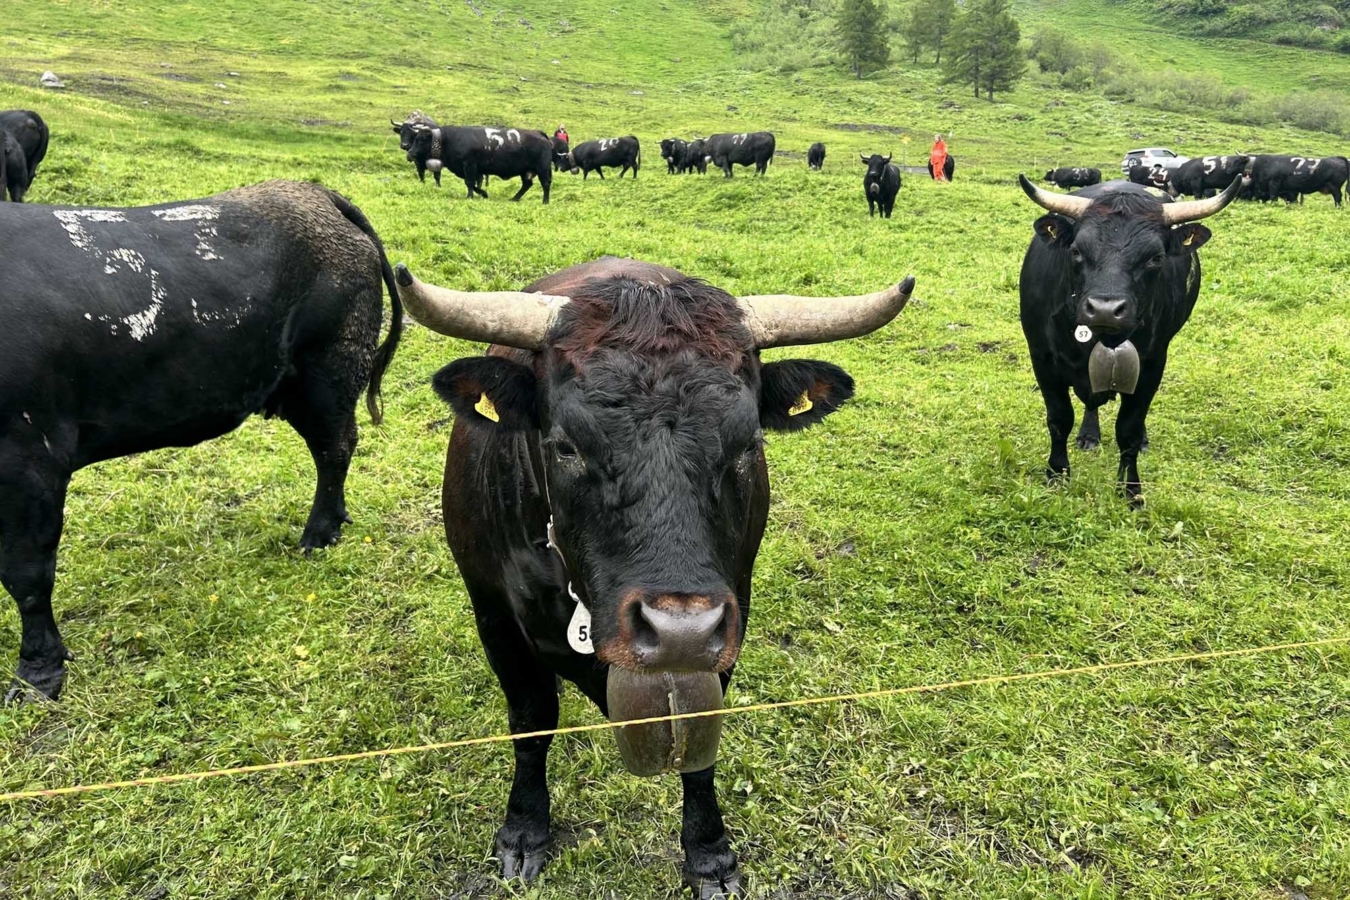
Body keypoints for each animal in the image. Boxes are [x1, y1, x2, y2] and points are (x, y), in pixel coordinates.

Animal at [0, 181, 403, 703]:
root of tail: (313, 193)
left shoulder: (29, 455)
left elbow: (27, 572)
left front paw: (38, 672)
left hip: (328, 372)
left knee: (335, 449)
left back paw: (319, 533)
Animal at [391, 256, 914, 899]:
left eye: (748, 443)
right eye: (565, 445)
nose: (678, 634)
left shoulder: (731, 615)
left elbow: (699, 733)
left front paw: (709, 853)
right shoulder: (493, 614)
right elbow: (532, 723)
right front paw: (525, 830)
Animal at [406, 124, 553, 203]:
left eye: (420, 140)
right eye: (415, 138)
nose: (410, 154)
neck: (449, 140)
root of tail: (539, 133)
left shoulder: (469, 165)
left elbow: (470, 183)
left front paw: (471, 196)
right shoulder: (473, 170)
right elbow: (472, 184)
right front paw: (483, 194)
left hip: (543, 169)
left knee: (545, 184)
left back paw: (545, 201)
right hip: (525, 171)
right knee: (527, 184)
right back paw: (514, 198)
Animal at [1016, 175, 1241, 503]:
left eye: (1155, 258)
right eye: (1076, 251)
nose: (1105, 309)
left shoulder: (1151, 364)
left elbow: (1129, 428)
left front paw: (1131, 490)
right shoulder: (1042, 358)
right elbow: (1059, 419)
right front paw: (1056, 475)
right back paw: (1089, 435)